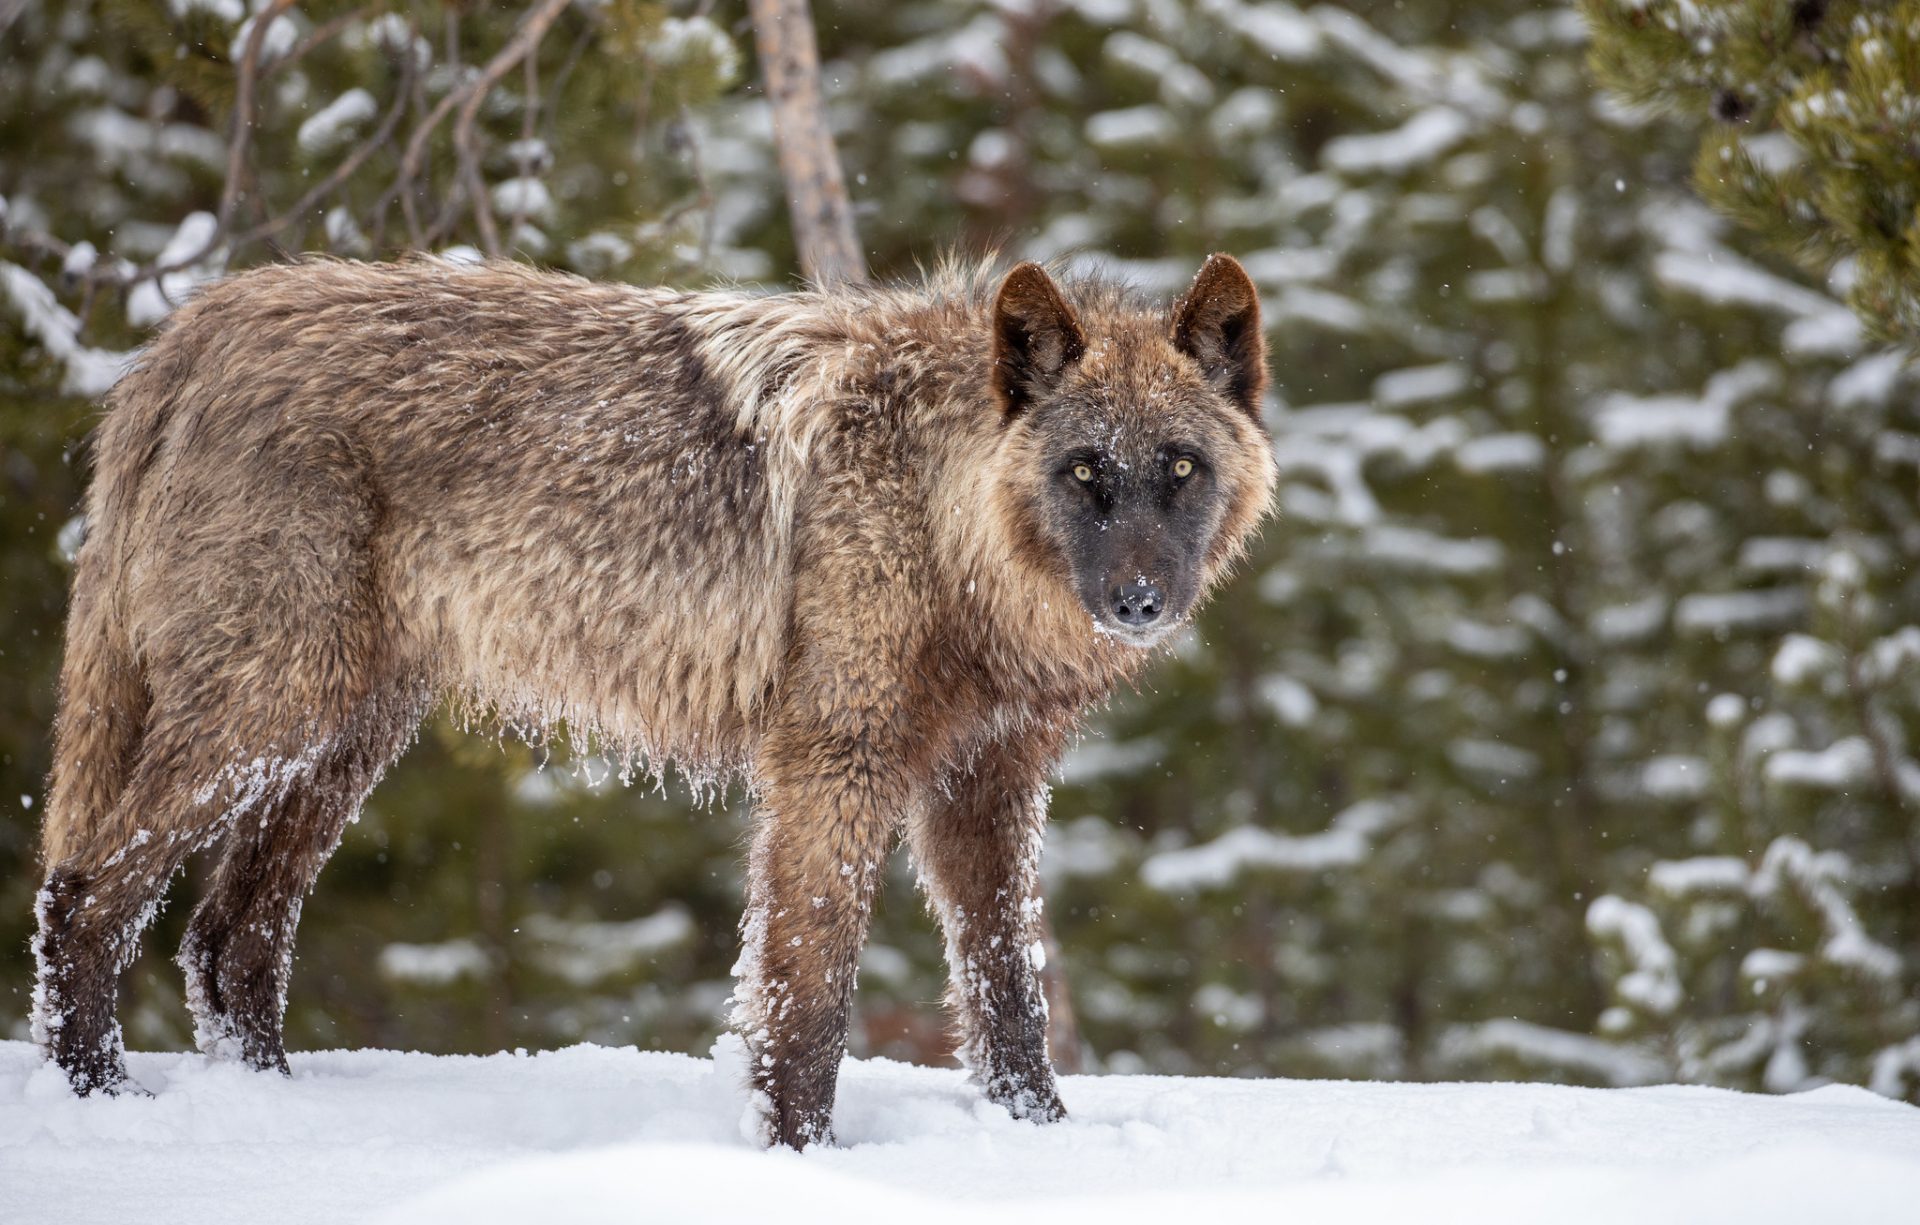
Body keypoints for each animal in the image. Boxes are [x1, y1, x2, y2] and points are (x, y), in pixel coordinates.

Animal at [31, 251, 1275, 1147]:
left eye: (1180, 468)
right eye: (1082, 471)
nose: (1139, 600)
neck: (939, 511)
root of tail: (191, 330)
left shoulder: (988, 785)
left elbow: (1008, 990)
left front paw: (1041, 1144)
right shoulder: (835, 764)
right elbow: (807, 994)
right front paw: (800, 1158)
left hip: (339, 739)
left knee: (226, 939)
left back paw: (274, 1112)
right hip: (274, 716)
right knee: (87, 891)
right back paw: (104, 1105)